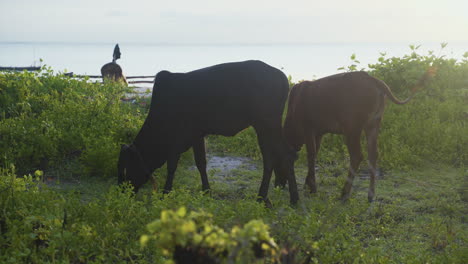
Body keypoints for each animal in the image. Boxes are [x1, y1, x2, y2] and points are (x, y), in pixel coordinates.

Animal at [119, 60, 298, 205]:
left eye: (126, 168)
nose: (122, 192)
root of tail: (282, 77)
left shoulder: (177, 140)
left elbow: (172, 166)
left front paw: (165, 192)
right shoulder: (197, 135)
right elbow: (200, 163)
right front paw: (206, 191)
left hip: (266, 124)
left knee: (279, 156)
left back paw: (274, 198)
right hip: (266, 127)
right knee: (279, 156)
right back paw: (282, 197)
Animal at [286, 71, 416, 201]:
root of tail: (374, 80)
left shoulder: (308, 128)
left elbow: (311, 155)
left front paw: (312, 188)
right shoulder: (318, 133)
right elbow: (315, 154)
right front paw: (307, 185)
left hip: (352, 128)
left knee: (356, 156)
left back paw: (345, 193)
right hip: (373, 124)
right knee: (373, 154)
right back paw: (370, 195)